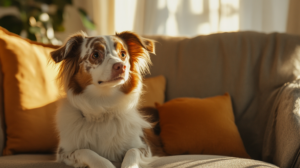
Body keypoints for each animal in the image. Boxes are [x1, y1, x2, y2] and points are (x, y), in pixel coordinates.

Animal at [51, 30, 164, 167]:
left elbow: (132, 151)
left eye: (123, 54)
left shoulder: (144, 147)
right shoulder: (63, 152)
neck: (104, 103)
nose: (121, 66)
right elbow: (86, 151)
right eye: (95, 55)